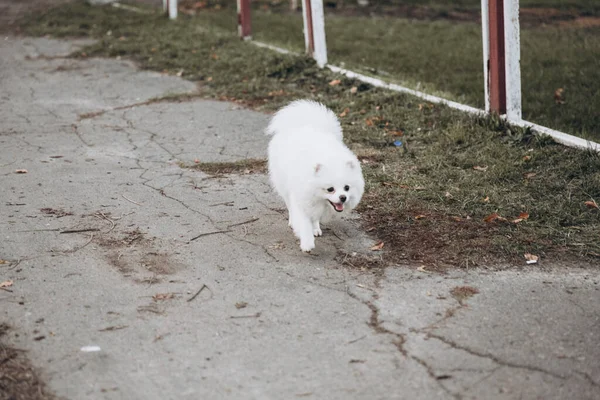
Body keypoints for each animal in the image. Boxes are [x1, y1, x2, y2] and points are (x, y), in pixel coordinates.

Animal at [268, 100, 366, 252]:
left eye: (347, 188)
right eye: (330, 189)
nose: (343, 198)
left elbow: (314, 217)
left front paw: (314, 228)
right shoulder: (300, 199)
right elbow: (303, 222)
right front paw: (307, 242)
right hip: (283, 185)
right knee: (289, 205)